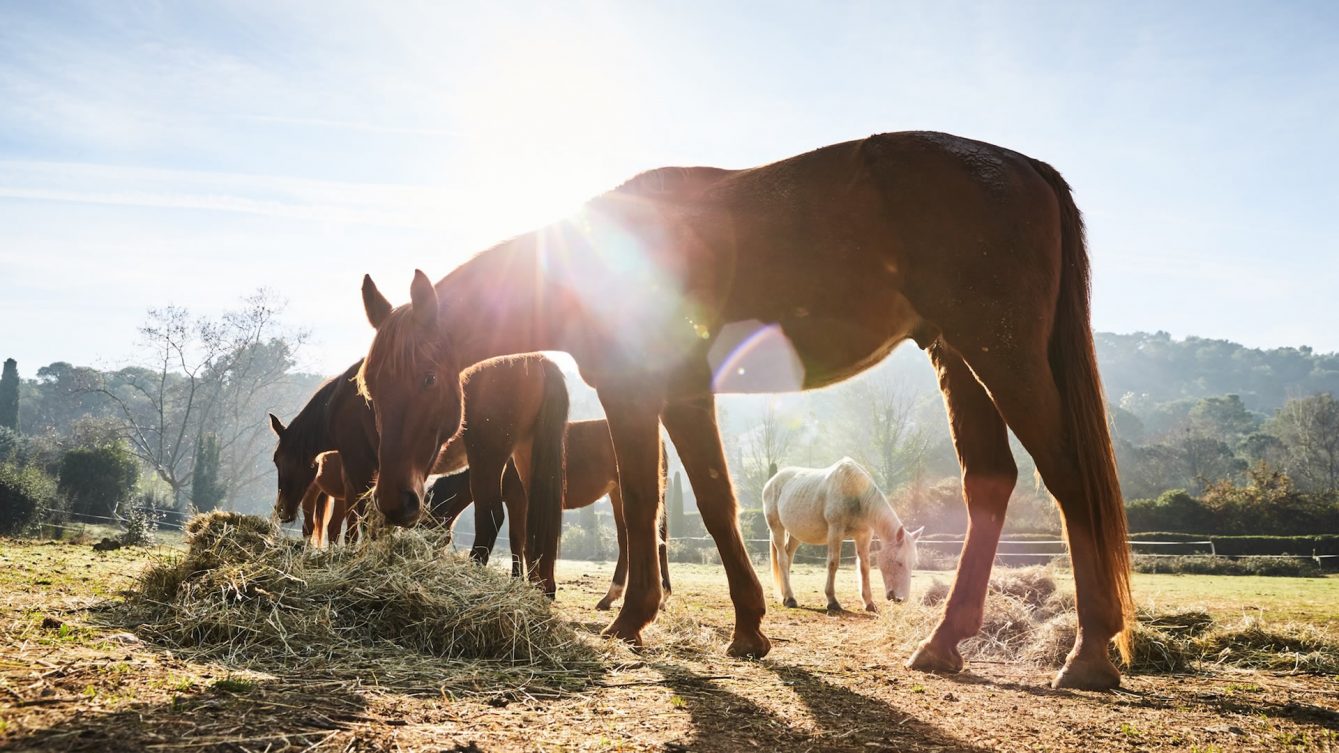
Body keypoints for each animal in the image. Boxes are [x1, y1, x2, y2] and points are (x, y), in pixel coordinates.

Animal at [428, 415, 674, 610]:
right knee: (630, 540)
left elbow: (518, 541)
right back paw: (615, 597)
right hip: (617, 495)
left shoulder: (519, 501)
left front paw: (523, 582)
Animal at [765, 458, 921, 610]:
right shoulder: (835, 531)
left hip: (796, 534)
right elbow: (833, 563)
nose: (901, 598)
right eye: (899, 562)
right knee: (782, 559)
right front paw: (832, 601)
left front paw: (869, 603)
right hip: (777, 528)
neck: (855, 493)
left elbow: (864, 566)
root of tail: (771, 481)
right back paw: (790, 599)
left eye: (913, 563)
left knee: (788, 557)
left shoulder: (863, 536)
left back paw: (786, 595)